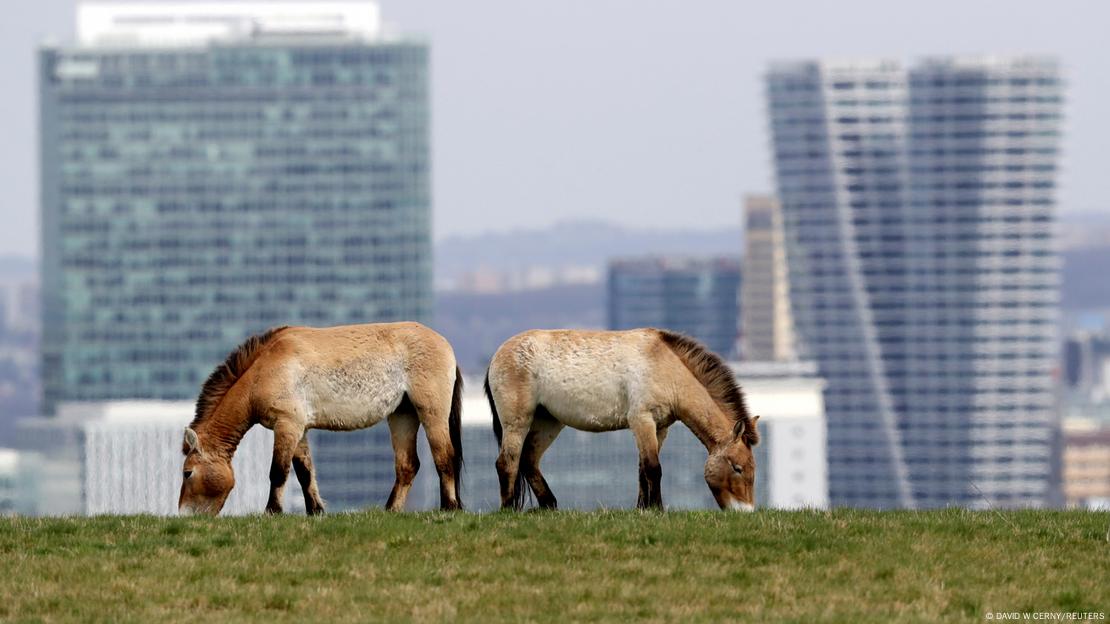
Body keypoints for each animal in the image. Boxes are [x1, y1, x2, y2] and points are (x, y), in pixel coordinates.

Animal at [178, 319, 463, 515]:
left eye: (187, 473)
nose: (184, 515)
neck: (263, 371)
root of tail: (446, 346)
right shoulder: (298, 429)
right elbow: (305, 472)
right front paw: (315, 511)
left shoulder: (287, 425)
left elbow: (278, 472)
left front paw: (272, 512)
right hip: (402, 415)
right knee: (407, 466)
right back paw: (390, 510)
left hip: (431, 412)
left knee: (444, 457)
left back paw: (449, 508)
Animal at [481, 328, 759, 508]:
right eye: (737, 468)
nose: (744, 511)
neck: (665, 367)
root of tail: (496, 356)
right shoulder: (642, 420)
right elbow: (654, 468)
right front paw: (658, 509)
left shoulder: (659, 428)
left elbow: (643, 469)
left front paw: (643, 508)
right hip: (517, 422)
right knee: (507, 462)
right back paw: (508, 509)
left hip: (548, 422)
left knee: (529, 461)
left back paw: (549, 505)